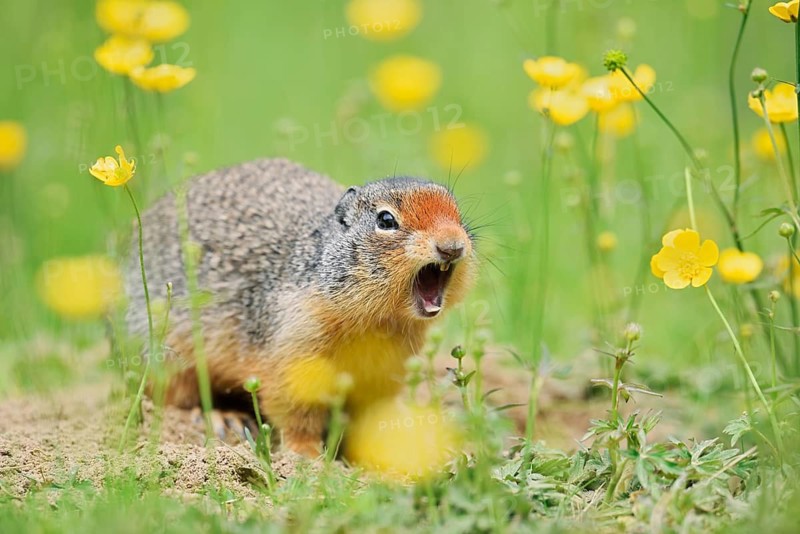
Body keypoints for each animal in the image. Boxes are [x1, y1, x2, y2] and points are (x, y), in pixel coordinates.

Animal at [126, 158, 476, 456]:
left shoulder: (388, 367)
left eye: (457, 214)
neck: (378, 319)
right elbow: (297, 410)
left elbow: (374, 412)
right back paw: (223, 419)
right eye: (386, 220)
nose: (452, 246)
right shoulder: (295, 346)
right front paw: (306, 457)